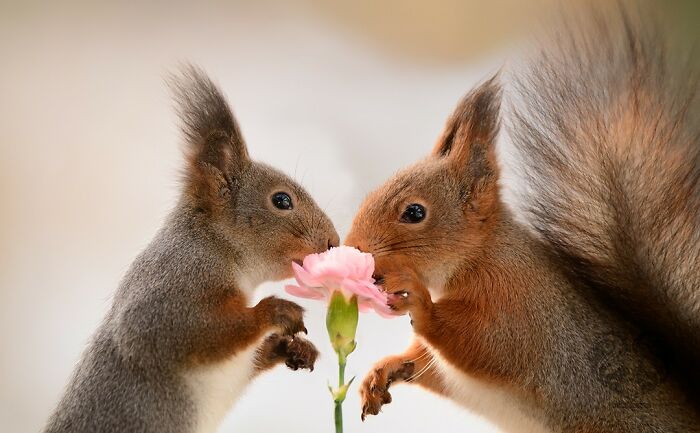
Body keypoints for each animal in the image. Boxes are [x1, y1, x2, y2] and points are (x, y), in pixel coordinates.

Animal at [43, 66, 339, 433]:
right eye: (282, 200)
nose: (333, 241)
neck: (221, 248)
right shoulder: (178, 281)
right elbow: (177, 331)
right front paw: (274, 312)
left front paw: (292, 348)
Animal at [345, 5, 700, 433]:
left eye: (414, 212)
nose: (352, 248)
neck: (481, 257)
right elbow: (427, 364)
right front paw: (383, 371)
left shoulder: (523, 314)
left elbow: (484, 344)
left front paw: (417, 300)